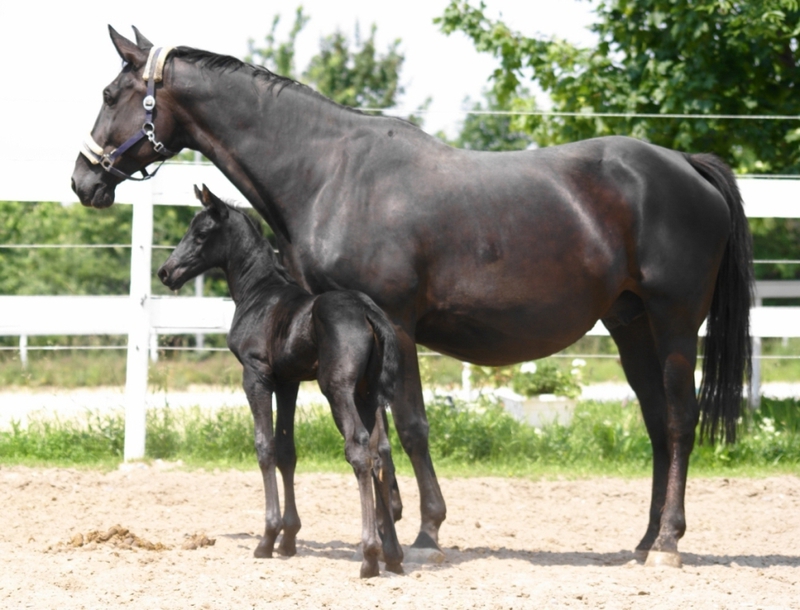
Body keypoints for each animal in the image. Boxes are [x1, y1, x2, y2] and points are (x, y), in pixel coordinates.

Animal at [159, 184, 404, 576]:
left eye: (200, 233)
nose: (166, 272)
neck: (259, 294)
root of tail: (368, 311)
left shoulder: (256, 375)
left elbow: (265, 447)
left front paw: (268, 538)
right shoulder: (289, 382)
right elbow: (287, 451)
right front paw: (289, 539)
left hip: (338, 390)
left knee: (358, 448)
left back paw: (369, 555)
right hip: (369, 393)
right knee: (381, 451)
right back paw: (393, 555)